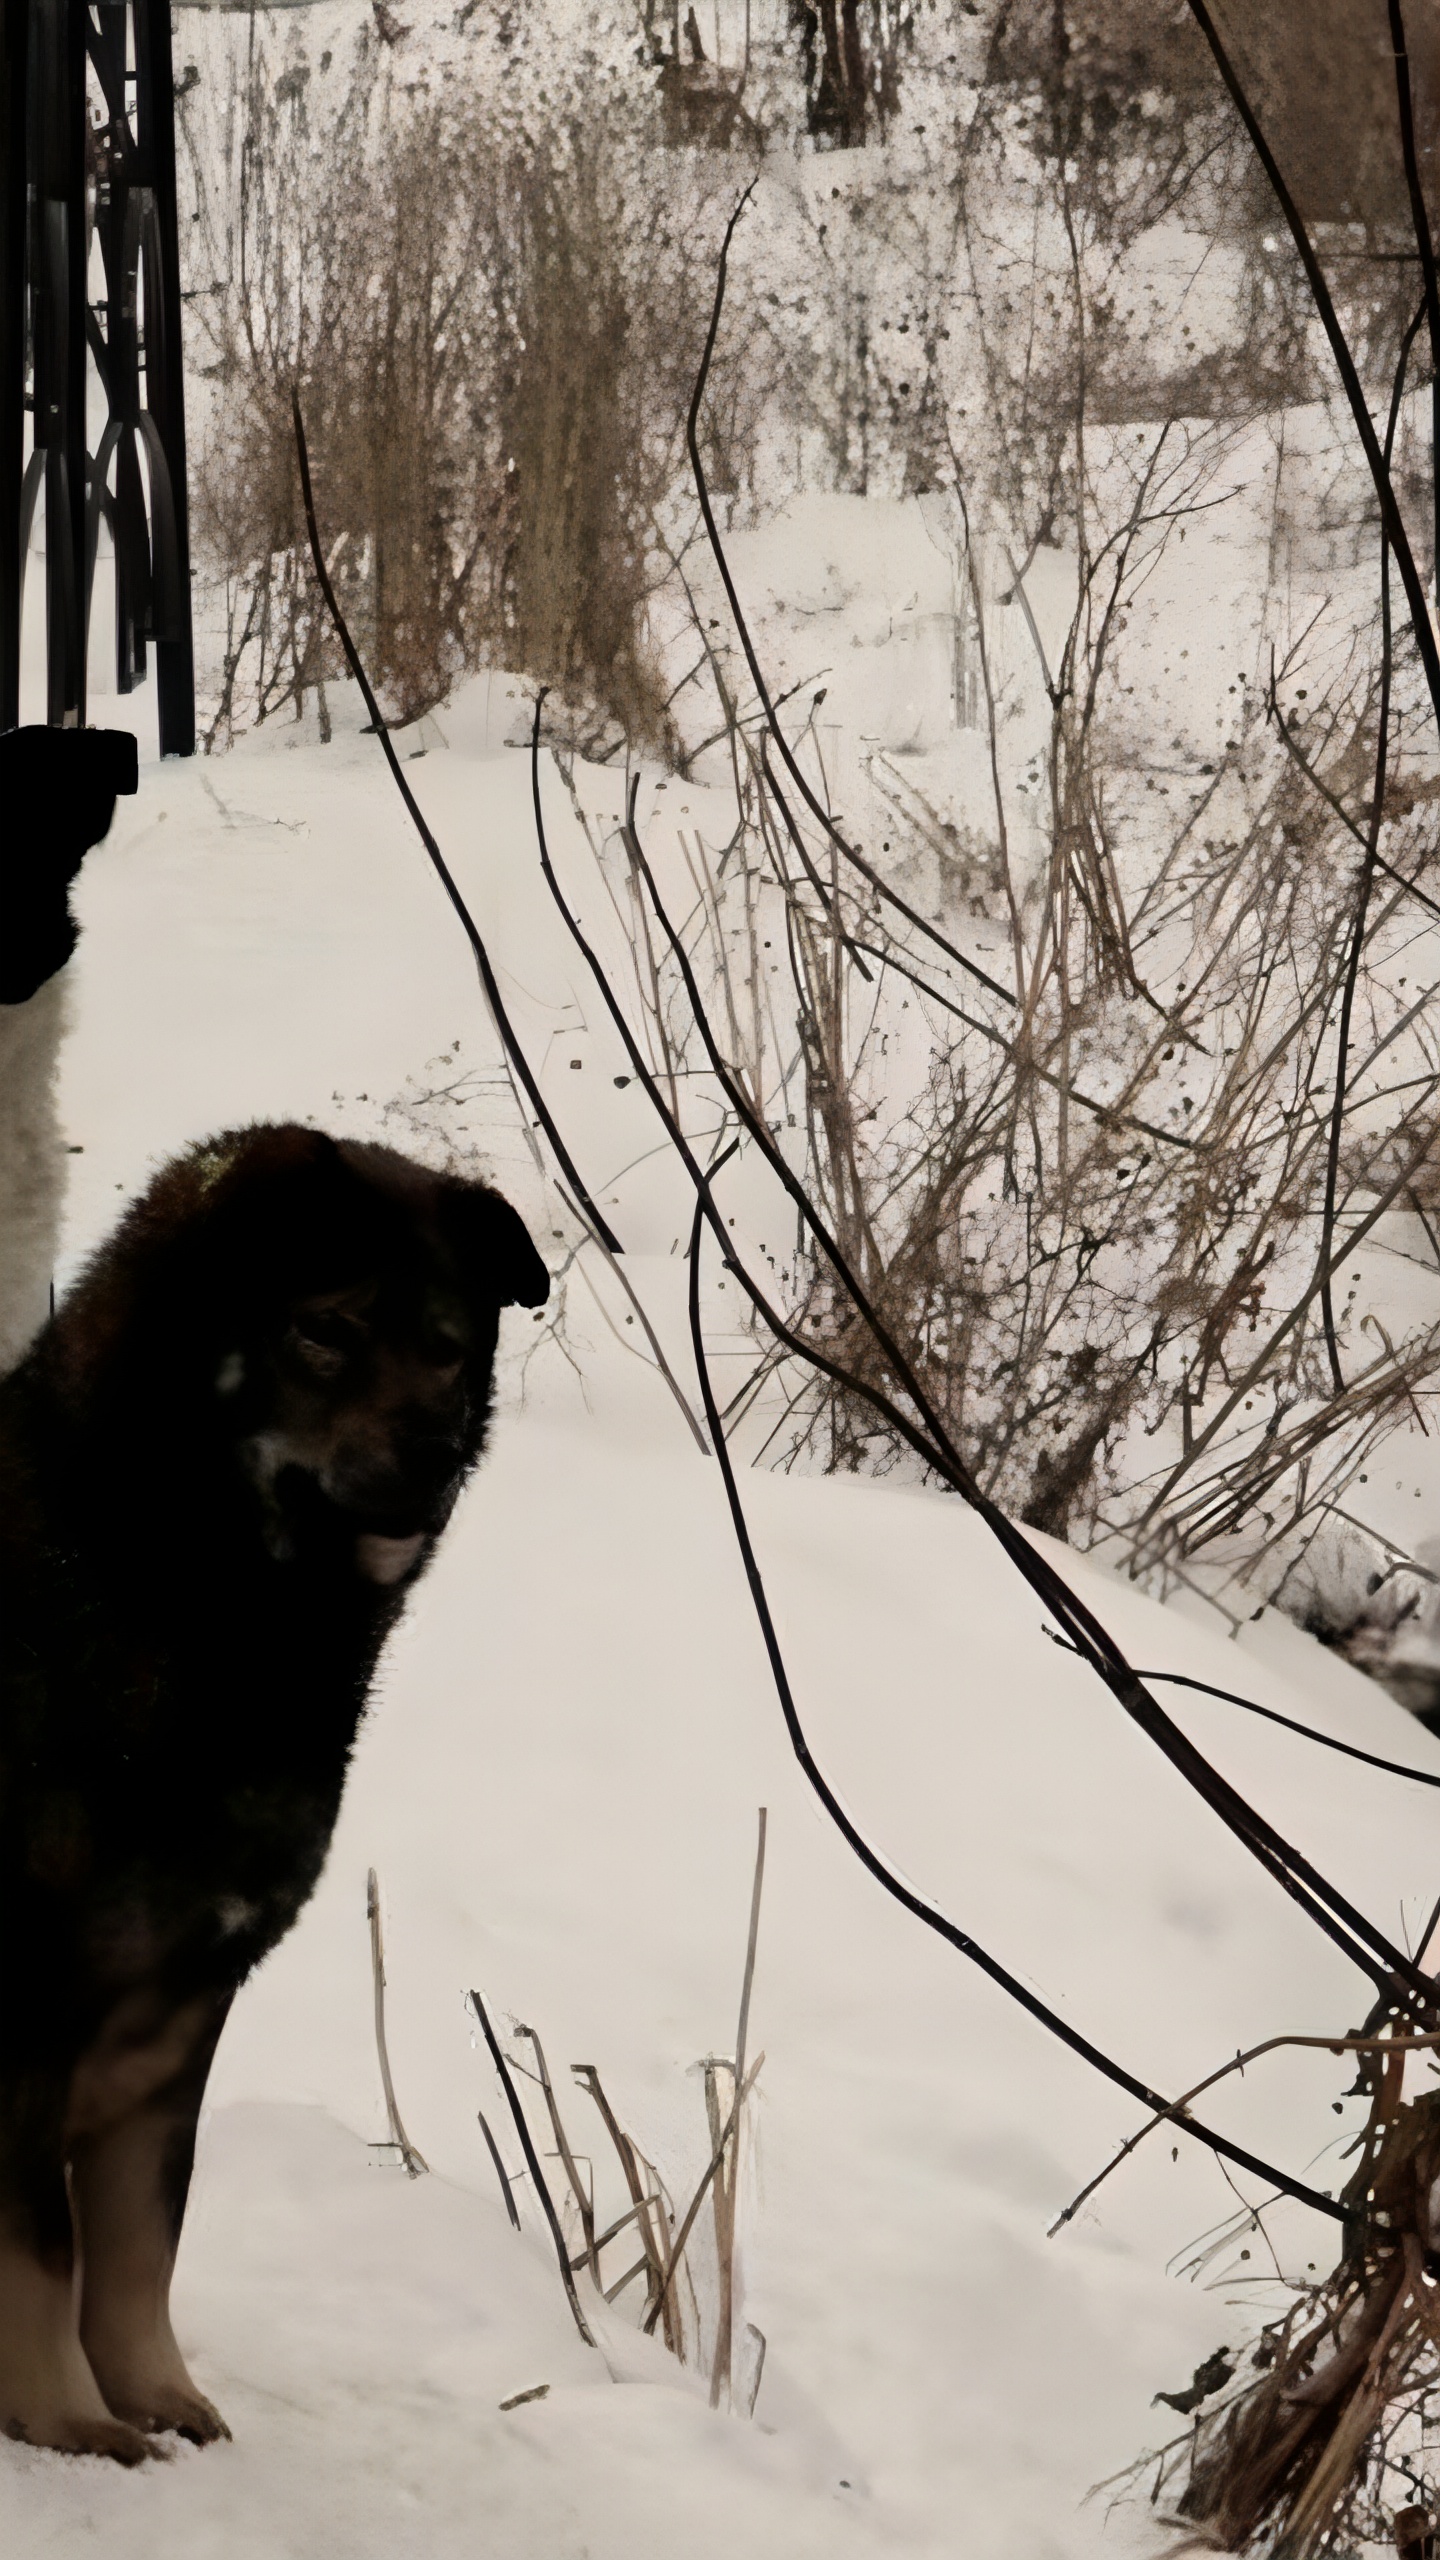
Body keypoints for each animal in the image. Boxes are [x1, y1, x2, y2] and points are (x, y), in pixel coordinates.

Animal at [0, 1121, 545, 2457]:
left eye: (447, 1349)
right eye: (325, 1331)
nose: (436, 1449)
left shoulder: (188, 2001)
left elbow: (142, 2229)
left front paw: (150, 2389)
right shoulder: (35, 1987)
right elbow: (42, 2240)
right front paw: (63, 2416)